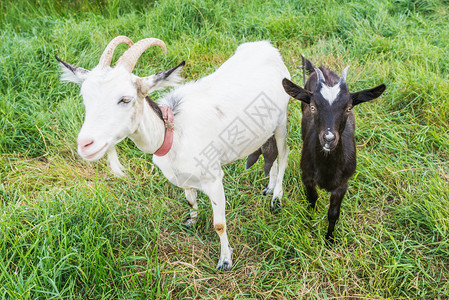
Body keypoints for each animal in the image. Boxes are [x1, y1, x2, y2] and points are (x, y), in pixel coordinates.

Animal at [57, 36, 290, 270]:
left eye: (125, 99)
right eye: (85, 98)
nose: (85, 144)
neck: (173, 133)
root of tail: (267, 46)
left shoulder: (214, 178)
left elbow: (219, 225)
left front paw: (225, 260)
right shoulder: (183, 177)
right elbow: (190, 201)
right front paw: (192, 221)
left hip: (282, 120)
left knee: (283, 155)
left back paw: (276, 199)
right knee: (272, 155)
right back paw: (269, 188)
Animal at [284, 58, 384, 241]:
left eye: (349, 108)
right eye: (313, 107)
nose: (329, 138)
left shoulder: (342, 185)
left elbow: (333, 213)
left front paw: (329, 239)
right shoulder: (307, 177)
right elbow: (312, 200)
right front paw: (310, 223)